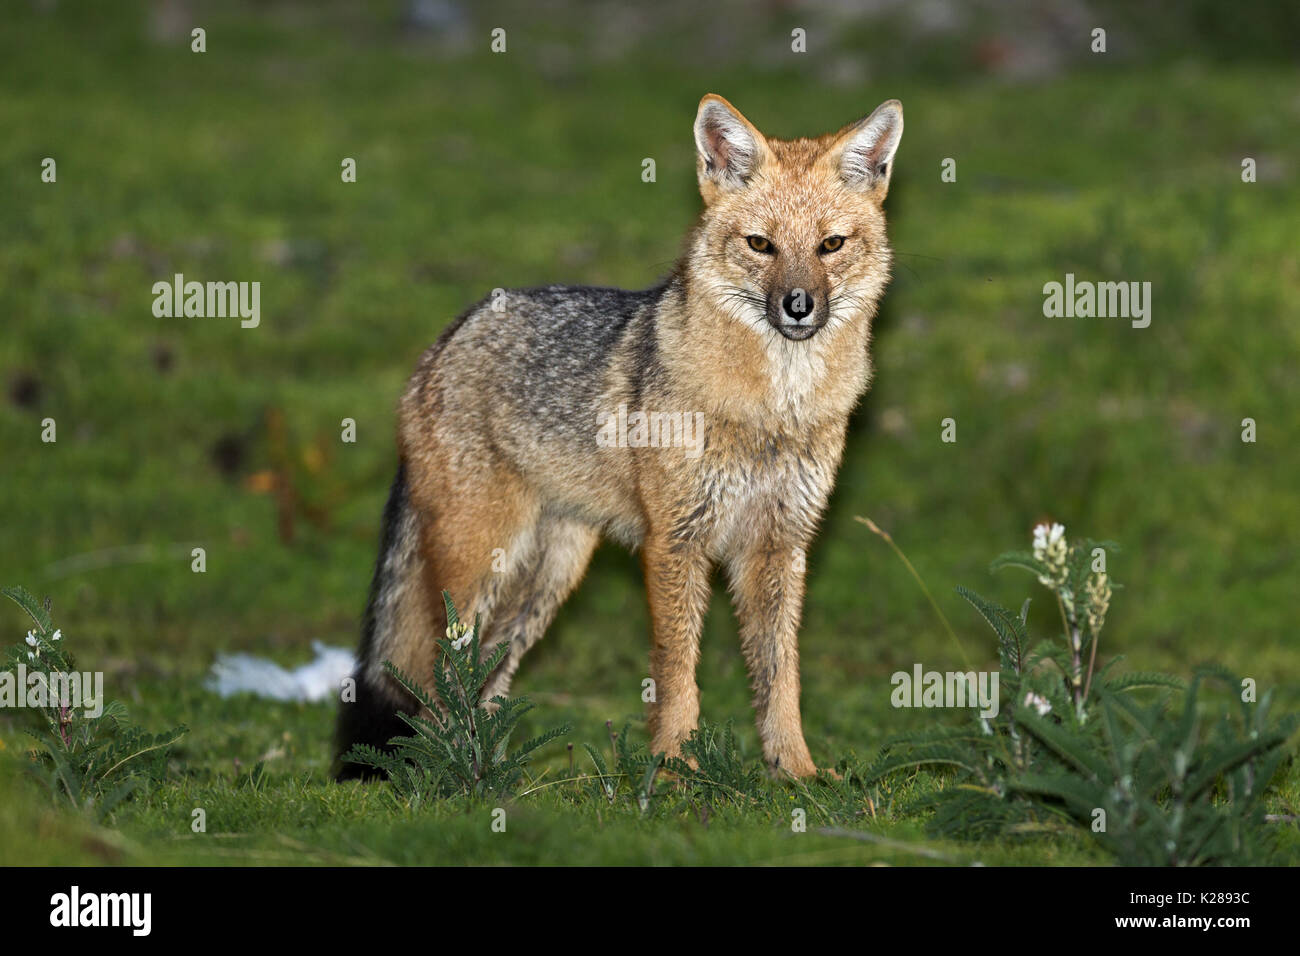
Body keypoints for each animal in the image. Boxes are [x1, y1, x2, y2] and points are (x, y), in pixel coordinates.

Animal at [334, 93, 903, 780]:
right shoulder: (674, 542)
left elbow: (780, 676)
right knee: (439, 680)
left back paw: (490, 775)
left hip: (546, 581)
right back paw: (453, 778)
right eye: (761, 245)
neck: (772, 413)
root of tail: (446, 337)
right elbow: (677, 673)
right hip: (481, 567)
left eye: (831, 245)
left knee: (482, 683)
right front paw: (675, 772)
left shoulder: (779, 546)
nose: (798, 305)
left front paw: (795, 773)